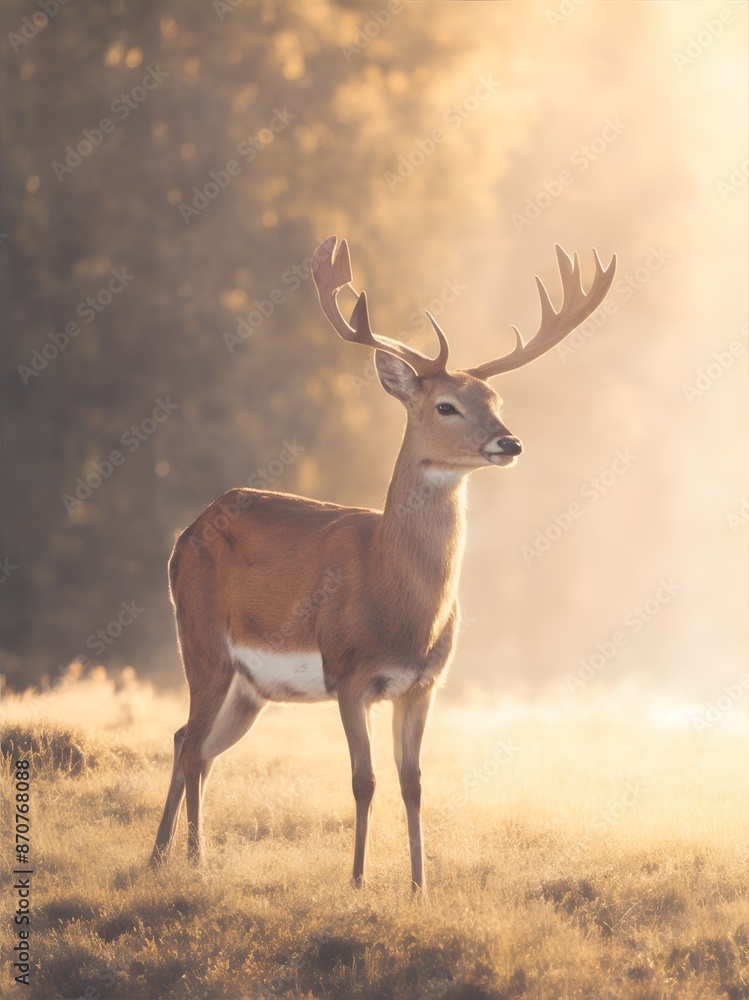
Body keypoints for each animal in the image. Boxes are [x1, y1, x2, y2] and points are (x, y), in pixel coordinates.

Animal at [151, 236, 616, 893]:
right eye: (446, 405)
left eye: (494, 399)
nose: (510, 442)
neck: (397, 602)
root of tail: (184, 535)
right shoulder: (348, 674)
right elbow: (363, 780)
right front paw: (356, 882)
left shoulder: (423, 684)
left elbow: (413, 783)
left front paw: (420, 887)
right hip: (202, 643)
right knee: (190, 741)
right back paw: (180, 857)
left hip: (249, 687)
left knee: (194, 744)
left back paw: (176, 855)